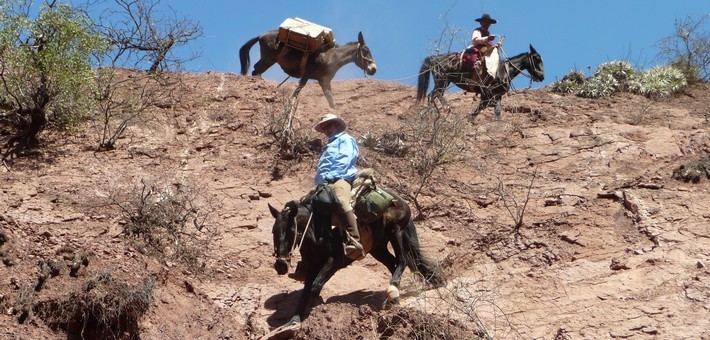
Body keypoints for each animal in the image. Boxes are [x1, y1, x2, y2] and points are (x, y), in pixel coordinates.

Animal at [241, 30, 378, 107]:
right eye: (365, 51)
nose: (374, 69)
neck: (331, 57)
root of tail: (261, 35)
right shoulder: (306, 73)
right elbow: (298, 89)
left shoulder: (324, 81)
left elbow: (330, 100)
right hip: (269, 59)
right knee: (256, 70)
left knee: (256, 70)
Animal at [268, 187, 444, 326]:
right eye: (274, 231)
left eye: (290, 230)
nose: (280, 266)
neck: (315, 231)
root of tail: (401, 200)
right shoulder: (312, 265)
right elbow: (306, 291)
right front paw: (294, 320)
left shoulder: (334, 261)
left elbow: (316, 285)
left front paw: (313, 311)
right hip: (378, 248)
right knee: (393, 263)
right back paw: (392, 298)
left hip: (396, 231)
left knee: (402, 260)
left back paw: (393, 290)